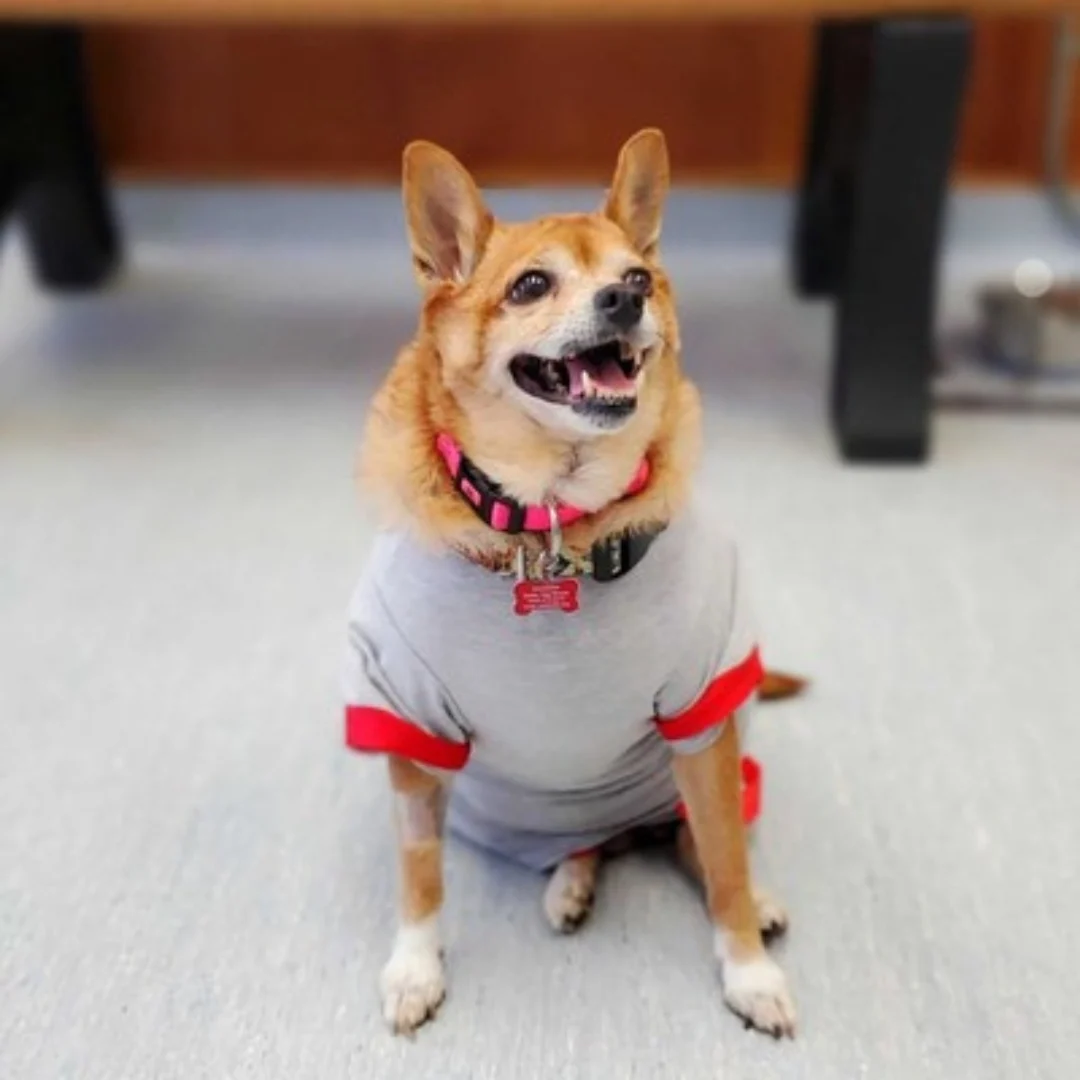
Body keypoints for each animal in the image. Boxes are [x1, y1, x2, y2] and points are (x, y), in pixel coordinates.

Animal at [345, 130, 803, 1041]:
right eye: (531, 284)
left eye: (638, 277)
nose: (625, 300)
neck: (555, 526)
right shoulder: (409, 729)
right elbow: (419, 874)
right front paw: (414, 967)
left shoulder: (702, 719)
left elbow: (726, 867)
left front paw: (747, 971)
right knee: (585, 843)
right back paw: (572, 878)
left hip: (705, 772)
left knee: (700, 843)